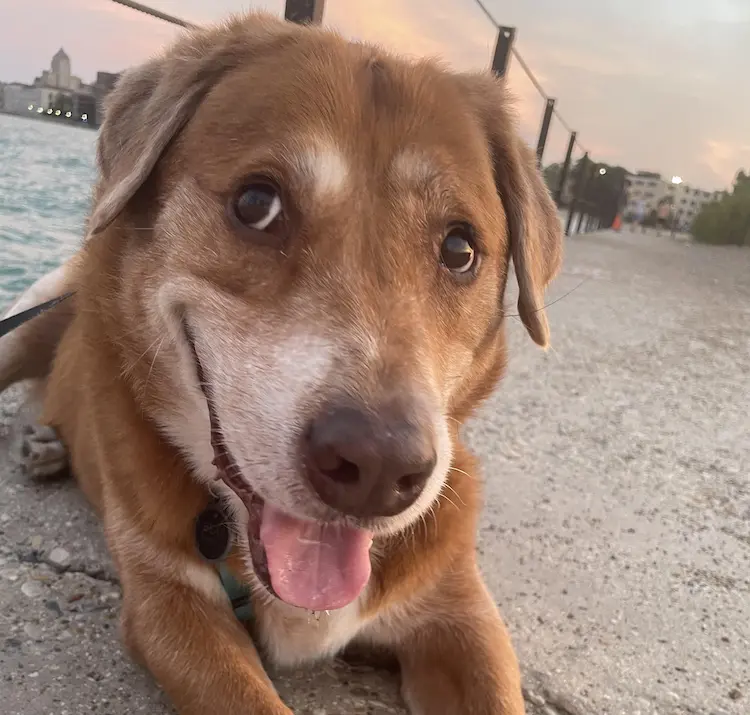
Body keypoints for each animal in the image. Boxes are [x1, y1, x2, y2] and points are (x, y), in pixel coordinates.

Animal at [0, 12, 564, 715]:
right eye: (255, 205)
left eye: (460, 249)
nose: (378, 467)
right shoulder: (169, 606)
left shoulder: (460, 614)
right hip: (33, 313)